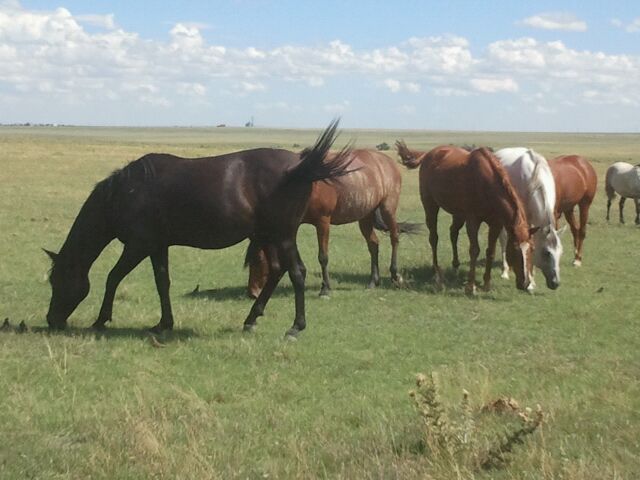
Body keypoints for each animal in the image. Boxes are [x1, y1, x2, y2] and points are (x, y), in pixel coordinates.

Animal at [43, 122, 356, 338]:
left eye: (57, 281)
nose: (52, 320)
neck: (126, 192)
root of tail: (300, 166)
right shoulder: (157, 246)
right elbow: (162, 282)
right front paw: (163, 324)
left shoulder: (138, 246)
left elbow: (112, 278)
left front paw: (100, 320)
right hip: (269, 235)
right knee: (277, 271)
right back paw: (251, 319)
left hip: (282, 235)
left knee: (296, 273)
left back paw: (295, 327)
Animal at [245, 150, 420, 298]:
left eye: (258, 260)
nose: (252, 292)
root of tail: (388, 161)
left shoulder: (323, 221)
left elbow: (323, 257)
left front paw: (325, 288)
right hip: (365, 215)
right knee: (373, 244)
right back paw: (373, 281)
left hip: (388, 208)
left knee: (394, 237)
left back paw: (395, 275)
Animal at [396, 141, 536, 294]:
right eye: (515, 249)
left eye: (532, 249)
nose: (525, 283)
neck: (485, 183)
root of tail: (428, 154)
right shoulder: (472, 221)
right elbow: (474, 250)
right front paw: (471, 285)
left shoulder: (495, 224)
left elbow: (490, 251)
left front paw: (487, 283)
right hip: (430, 205)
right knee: (433, 237)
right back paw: (436, 271)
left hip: (458, 214)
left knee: (453, 233)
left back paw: (455, 266)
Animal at [496, 147, 564, 288]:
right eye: (546, 252)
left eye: (560, 252)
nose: (555, 283)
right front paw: (531, 282)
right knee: (503, 239)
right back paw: (505, 271)